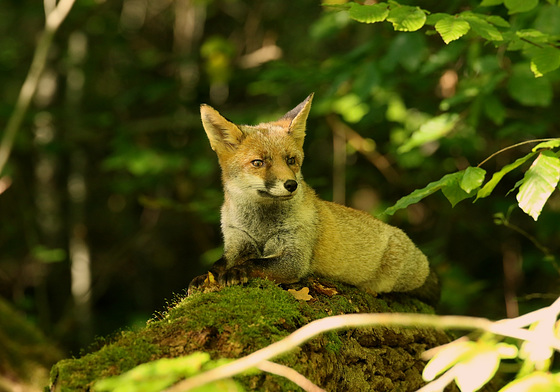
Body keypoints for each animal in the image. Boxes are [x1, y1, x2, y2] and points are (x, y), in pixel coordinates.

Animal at [188, 95, 428, 296]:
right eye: (258, 163)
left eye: (291, 160)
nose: (291, 185)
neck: (261, 226)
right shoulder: (237, 241)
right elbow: (218, 265)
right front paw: (204, 277)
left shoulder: (295, 256)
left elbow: (255, 263)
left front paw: (236, 272)